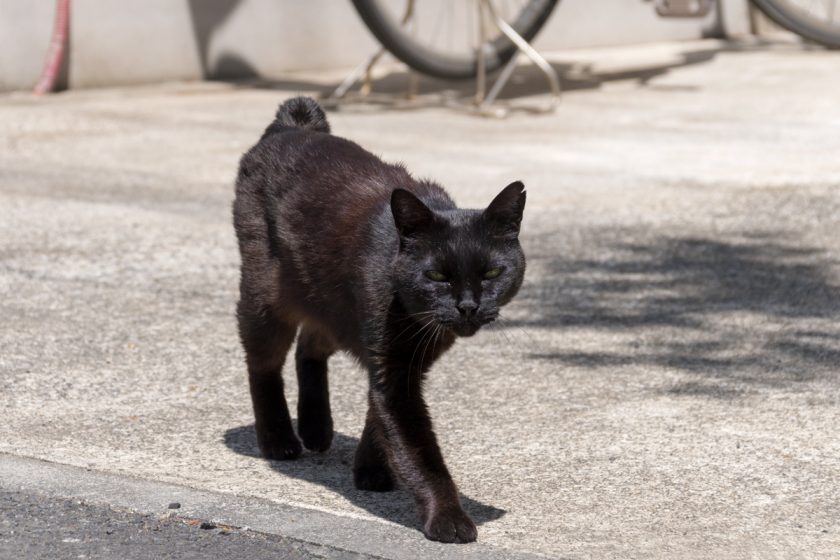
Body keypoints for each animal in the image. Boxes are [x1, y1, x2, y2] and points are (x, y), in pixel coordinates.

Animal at [233, 96, 524, 544]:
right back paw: (279, 439)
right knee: (263, 364)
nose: (468, 306)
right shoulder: (392, 367)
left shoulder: (404, 361)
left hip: (329, 302)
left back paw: (316, 427)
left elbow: (378, 413)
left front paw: (370, 470)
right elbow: (418, 448)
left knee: (309, 346)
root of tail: (291, 126)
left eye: (492, 273)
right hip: (266, 296)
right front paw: (448, 519)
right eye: (436, 276)